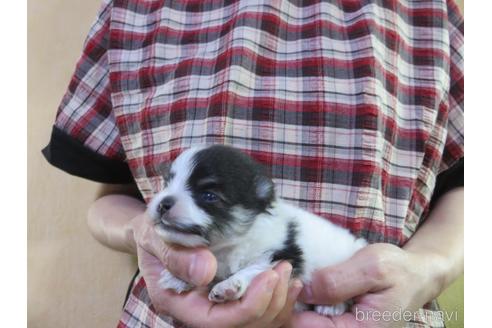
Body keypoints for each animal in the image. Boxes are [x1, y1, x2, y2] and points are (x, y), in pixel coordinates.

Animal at [148, 145, 368, 316]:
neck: (229, 246)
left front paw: (229, 286)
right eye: (167, 184)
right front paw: (178, 278)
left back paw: (332, 306)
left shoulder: (282, 256)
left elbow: (253, 269)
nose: (162, 204)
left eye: (209, 196)